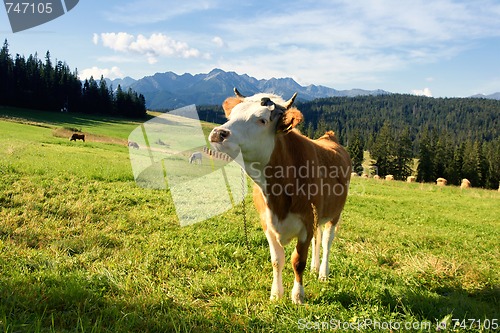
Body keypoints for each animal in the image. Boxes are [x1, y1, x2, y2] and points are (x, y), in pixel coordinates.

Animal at [208, 89, 352, 304]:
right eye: (231, 115)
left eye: (262, 120)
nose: (218, 133)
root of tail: (329, 137)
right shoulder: (267, 224)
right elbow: (277, 260)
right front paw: (276, 294)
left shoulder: (306, 223)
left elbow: (298, 261)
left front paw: (298, 296)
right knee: (318, 239)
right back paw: (315, 267)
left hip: (335, 214)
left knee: (327, 240)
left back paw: (323, 273)